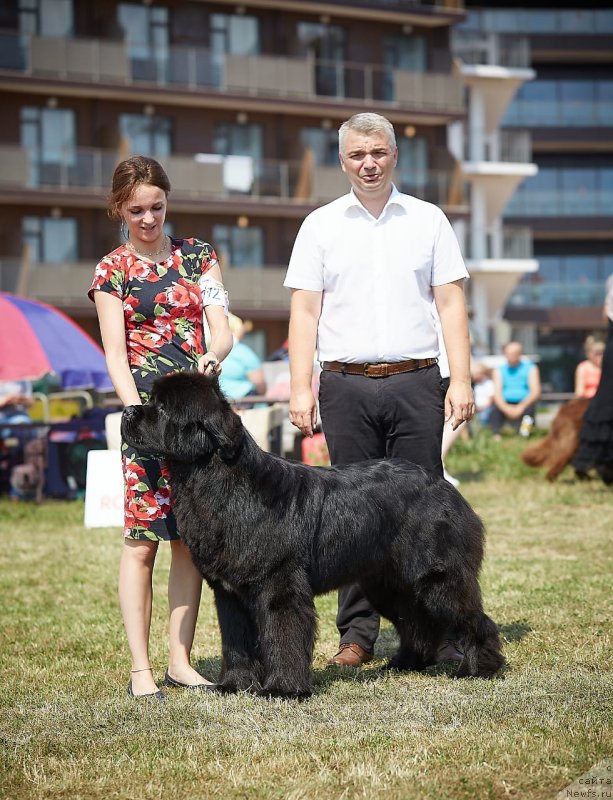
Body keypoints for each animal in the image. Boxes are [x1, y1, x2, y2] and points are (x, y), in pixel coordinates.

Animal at [123, 372, 502, 696]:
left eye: (161, 408)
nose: (127, 410)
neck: (218, 483)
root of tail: (442, 485)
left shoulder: (279, 585)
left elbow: (283, 635)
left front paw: (283, 690)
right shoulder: (229, 593)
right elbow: (236, 642)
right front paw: (234, 685)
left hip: (438, 577)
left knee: (472, 618)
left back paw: (480, 668)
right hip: (387, 584)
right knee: (415, 621)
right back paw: (405, 664)